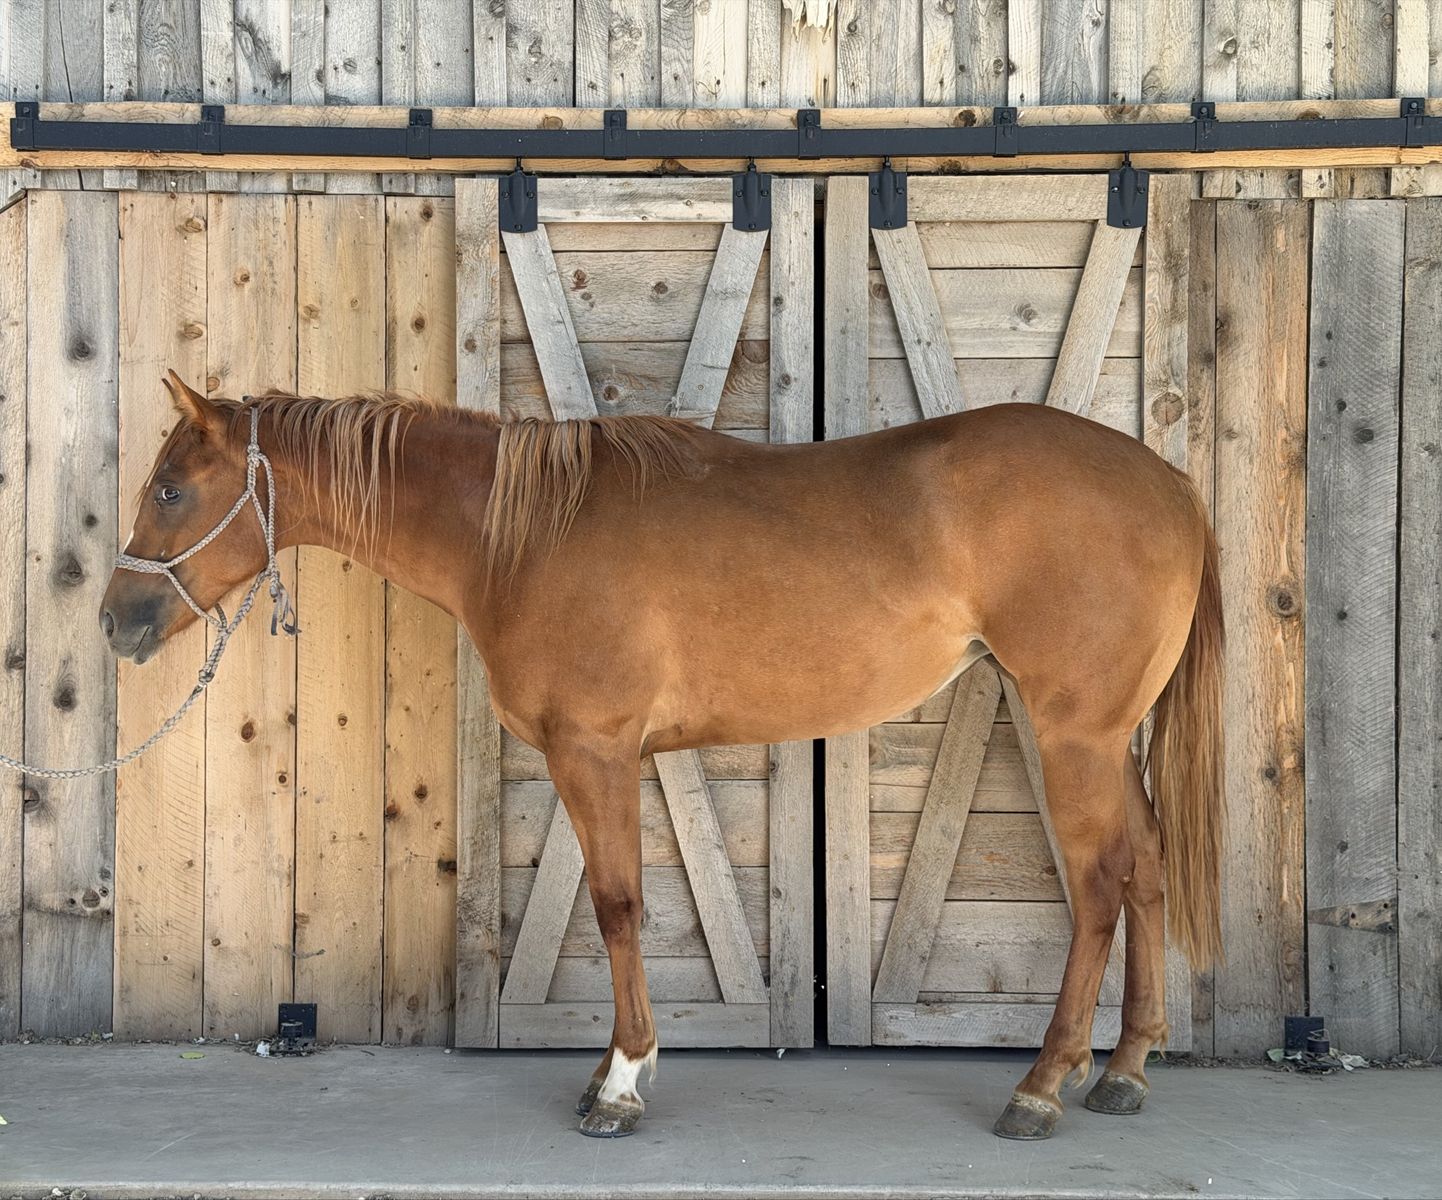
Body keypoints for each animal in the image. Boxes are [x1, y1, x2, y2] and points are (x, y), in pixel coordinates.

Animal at [101, 370, 1223, 1142]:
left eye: (170, 490)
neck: (519, 534)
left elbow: (616, 908)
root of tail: (1170, 483)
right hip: (1111, 741)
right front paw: (609, 1068)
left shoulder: (593, 753)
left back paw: (1041, 1088)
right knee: (1149, 870)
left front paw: (622, 1082)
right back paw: (1123, 1070)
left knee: (1098, 890)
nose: (116, 620)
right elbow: (616, 909)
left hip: (1072, 736)